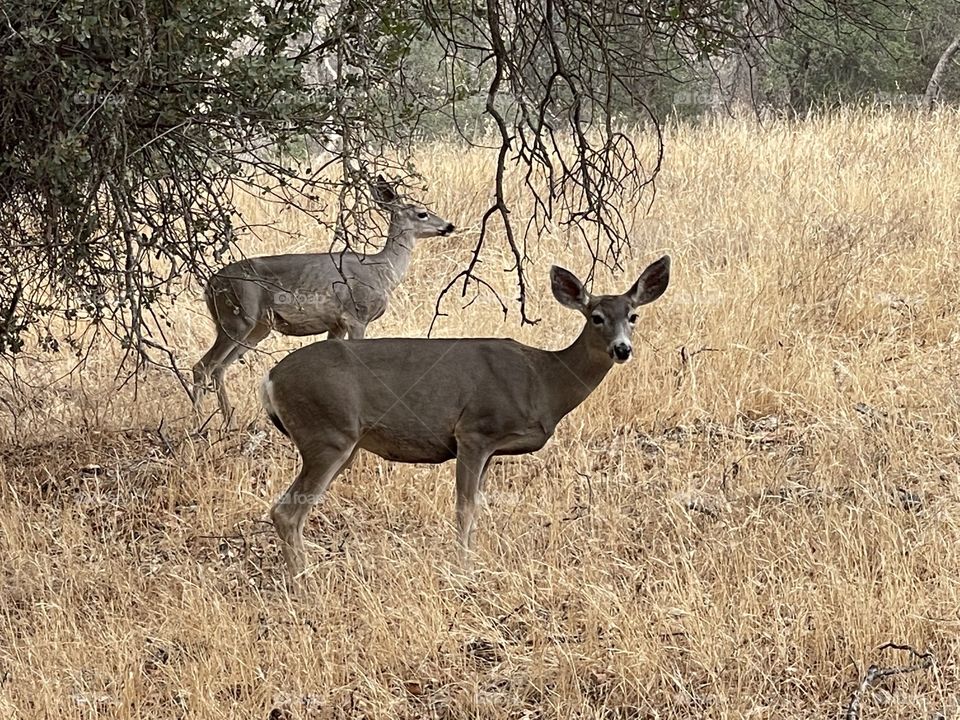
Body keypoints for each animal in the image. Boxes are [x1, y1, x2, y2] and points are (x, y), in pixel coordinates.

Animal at [192, 176, 456, 423]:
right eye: (422, 213)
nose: (449, 225)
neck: (381, 271)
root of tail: (210, 285)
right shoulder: (356, 315)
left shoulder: (336, 323)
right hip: (237, 317)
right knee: (203, 366)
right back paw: (198, 422)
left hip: (257, 327)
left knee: (219, 368)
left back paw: (229, 420)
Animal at [259, 255, 671, 577]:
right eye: (596, 317)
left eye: (633, 315)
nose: (622, 349)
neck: (543, 380)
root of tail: (270, 378)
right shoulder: (474, 431)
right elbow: (464, 509)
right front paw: (463, 571)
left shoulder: (490, 449)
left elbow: (478, 508)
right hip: (327, 433)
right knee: (286, 512)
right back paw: (303, 583)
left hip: (343, 442)